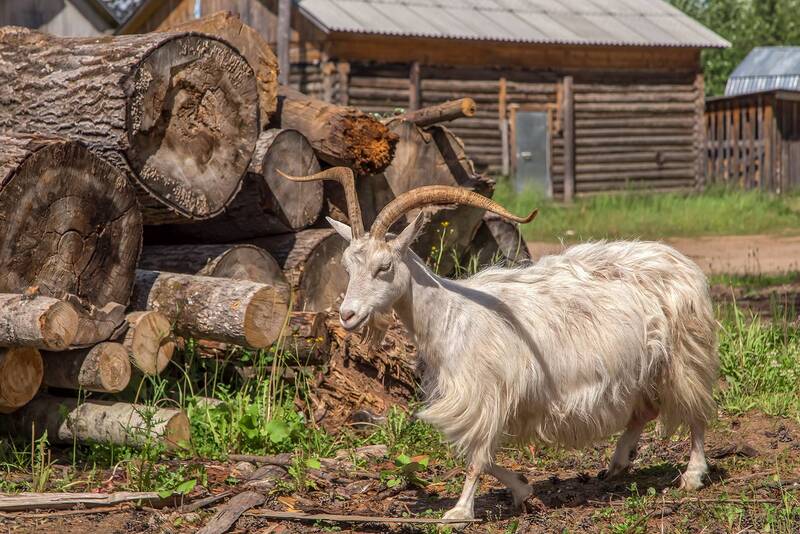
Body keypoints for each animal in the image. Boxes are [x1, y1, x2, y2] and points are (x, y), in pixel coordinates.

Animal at [280, 167, 719, 524]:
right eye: (347, 266)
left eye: (384, 267)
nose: (348, 315)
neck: (451, 315)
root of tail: (681, 262)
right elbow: (480, 455)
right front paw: (524, 489)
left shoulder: (484, 393)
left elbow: (476, 456)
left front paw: (459, 512)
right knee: (646, 409)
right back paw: (617, 464)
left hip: (685, 351)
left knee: (695, 411)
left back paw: (692, 476)